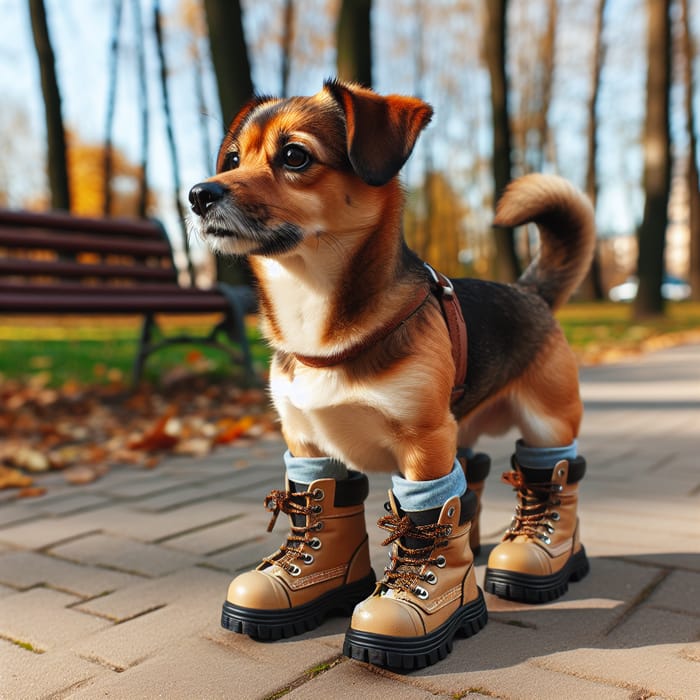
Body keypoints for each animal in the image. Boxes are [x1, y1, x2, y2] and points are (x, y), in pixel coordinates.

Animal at [189, 80, 592, 672]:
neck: (317, 316)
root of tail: (529, 291)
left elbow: (427, 513)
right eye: (234, 159)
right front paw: (305, 580)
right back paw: (473, 550)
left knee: (552, 473)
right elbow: (325, 496)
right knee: (471, 477)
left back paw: (546, 557)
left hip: (546, 422)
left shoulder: (422, 447)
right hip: (458, 429)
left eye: (295, 156)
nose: (198, 194)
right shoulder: (306, 442)